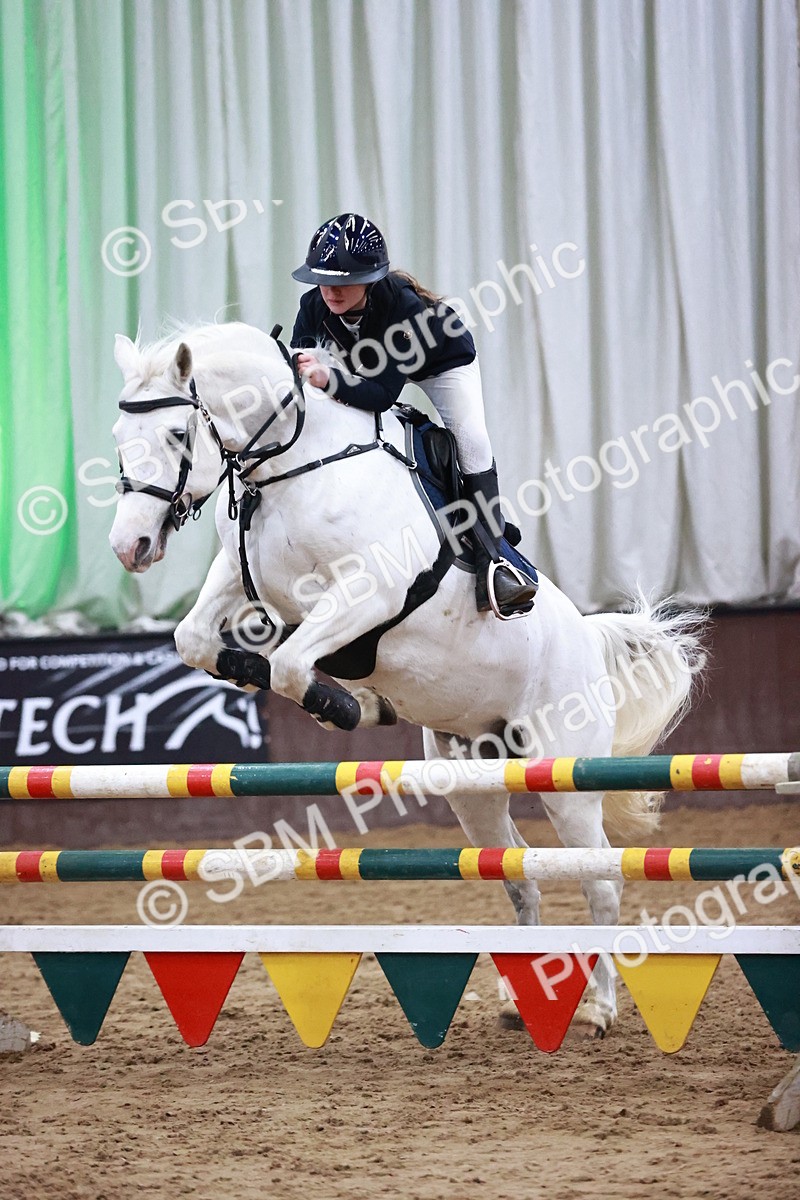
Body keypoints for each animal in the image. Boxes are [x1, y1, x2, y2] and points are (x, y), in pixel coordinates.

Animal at [109, 319, 704, 1037]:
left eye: (177, 435)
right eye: (117, 437)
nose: (129, 547)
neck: (291, 468)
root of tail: (586, 637)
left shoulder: (370, 590)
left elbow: (292, 663)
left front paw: (345, 705)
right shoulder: (241, 575)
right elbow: (198, 640)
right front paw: (312, 689)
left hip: (564, 776)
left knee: (601, 881)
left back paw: (598, 1010)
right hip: (475, 782)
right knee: (517, 872)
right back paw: (519, 1002)